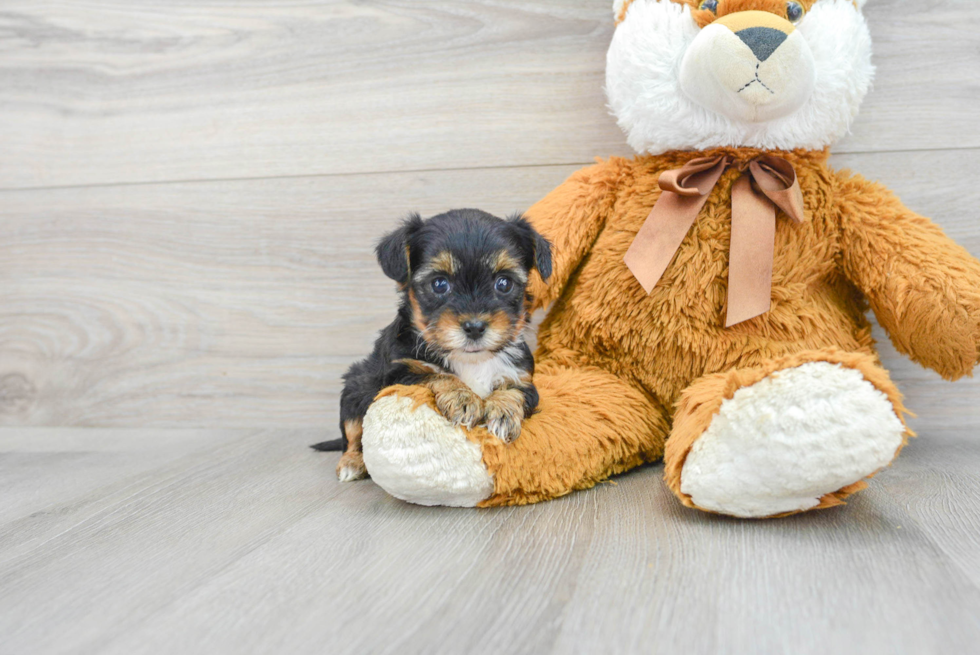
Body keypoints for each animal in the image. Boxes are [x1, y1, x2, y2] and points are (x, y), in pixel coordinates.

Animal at [318, 210, 556, 482]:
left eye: (504, 283)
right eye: (439, 284)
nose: (475, 327)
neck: (470, 360)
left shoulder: (523, 378)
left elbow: (513, 391)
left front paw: (502, 413)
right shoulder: (398, 373)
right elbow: (436, 375)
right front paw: (464, 398)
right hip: (355, 386)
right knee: (352, 433)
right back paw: (352, 463)